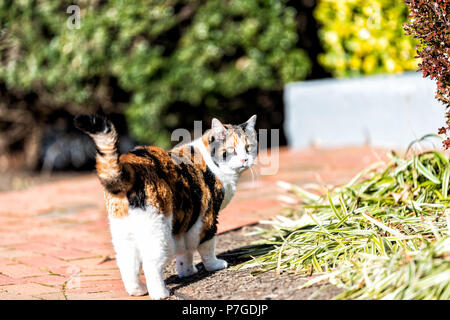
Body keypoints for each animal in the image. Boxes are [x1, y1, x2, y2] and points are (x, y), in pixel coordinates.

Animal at [74, 114, 256, 298]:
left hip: (123, 231)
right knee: (150, 263)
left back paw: (138, 290)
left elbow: (185, 250)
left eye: (248, 147)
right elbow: (207, 246)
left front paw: (187, 271)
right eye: (232, 149)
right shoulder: (207, 217)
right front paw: (214, 265)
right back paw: (160, 293)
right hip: (157, 230)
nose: (244, 159)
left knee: (126, 262)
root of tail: (128, 165)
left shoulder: (186, 219)